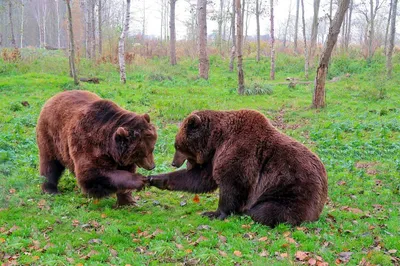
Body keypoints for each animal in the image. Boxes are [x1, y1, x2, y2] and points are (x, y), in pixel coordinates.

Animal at [150, 110, 328, 227]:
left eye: (177, 145)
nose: (173, 162)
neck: (216, 140)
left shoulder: (239, 151)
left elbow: (232, 184)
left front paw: (214, 213)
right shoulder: (214, 157)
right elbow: (200, 178)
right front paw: (155, 179)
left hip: (292, 191)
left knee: (267, 211)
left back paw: (249, 211)